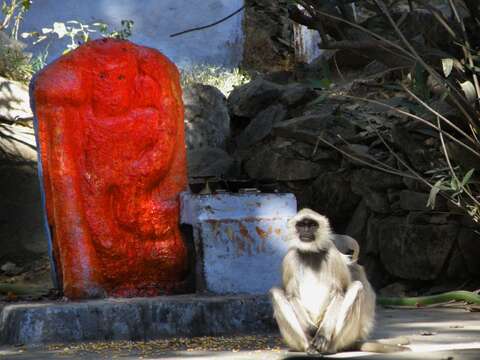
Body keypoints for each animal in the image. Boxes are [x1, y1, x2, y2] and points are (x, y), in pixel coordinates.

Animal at [270, 210, 408, 352]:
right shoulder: (290, 257)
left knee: (357, 286)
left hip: (341, 338)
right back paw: (309, 346)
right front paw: (311, 330)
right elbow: (291, 295)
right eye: (301, 225)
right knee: (276, 292)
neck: (311, 253)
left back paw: (326, 347)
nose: (306, 231)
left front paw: (322, 335)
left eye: (312, 225)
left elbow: (339, 293)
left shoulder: (333, 254)